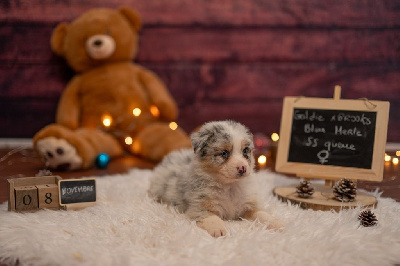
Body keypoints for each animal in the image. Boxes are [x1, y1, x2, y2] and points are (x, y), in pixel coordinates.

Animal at [148, 120, 284, 237]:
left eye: (245, 151)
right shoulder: (200, 208)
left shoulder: (248, 206)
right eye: (224, 153)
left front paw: (276, 223)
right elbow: (212, 218)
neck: (229, 186)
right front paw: (219, 230)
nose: (243, 168)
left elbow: (261, 213)